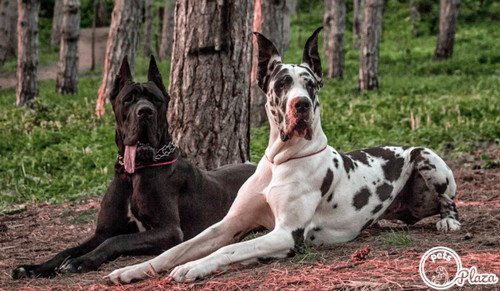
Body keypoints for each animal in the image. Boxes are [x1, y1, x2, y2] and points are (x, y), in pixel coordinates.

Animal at [12, 56, 254, 280]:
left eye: (155, 100)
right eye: (128, 99)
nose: (145, 111)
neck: (134, 173)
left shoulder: (169, 231)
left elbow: (116, 240)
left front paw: (81, 261)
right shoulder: (103, 231)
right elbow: (68, 249)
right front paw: (34, 267)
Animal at [107, 28, 458, 286]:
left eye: (311, 84)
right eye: (282, 83)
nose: (300, 105)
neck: (281, 161)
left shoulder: (286, 234)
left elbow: (231, 249)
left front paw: (194, 267)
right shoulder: (229, 224)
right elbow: (178, 248)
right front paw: (133, 269)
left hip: (427, 157)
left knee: (449, 201)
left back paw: (448, 222)